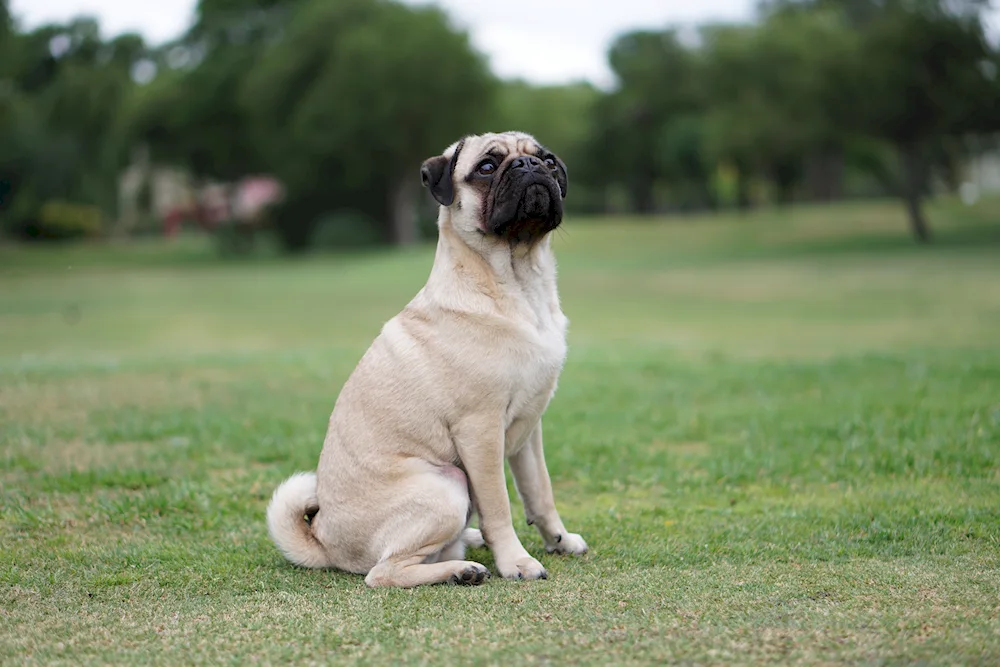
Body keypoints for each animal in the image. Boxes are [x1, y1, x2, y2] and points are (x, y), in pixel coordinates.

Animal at [270, 132, 588, 588]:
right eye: (487, 168)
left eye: (547, 160)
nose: (528, 166)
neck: (520, 282)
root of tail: (325, 542)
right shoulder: (480, 431)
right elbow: (499, 506)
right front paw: (516, 561)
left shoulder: (529, 429)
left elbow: (539, 492)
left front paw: (558, 540)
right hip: (447, 485)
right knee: (384, 572)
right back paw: (462, 570)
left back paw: (467, 546)